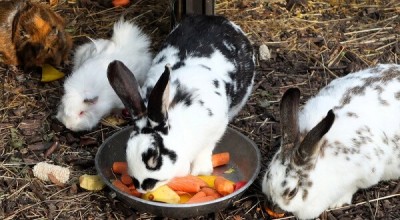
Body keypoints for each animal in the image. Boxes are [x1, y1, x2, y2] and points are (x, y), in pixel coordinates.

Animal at [108, 14, 255, 192]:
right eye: (126, 150)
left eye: (155, 157)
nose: (143, 188)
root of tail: (217, 19)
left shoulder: (216, 128)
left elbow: (206, 148)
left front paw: (201, 171)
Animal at [262, 63, 400, 218]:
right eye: (268, 175)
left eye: (292, 192)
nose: (274, 207)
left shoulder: (366, 174)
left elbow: (353, 187)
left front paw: (338, 203)